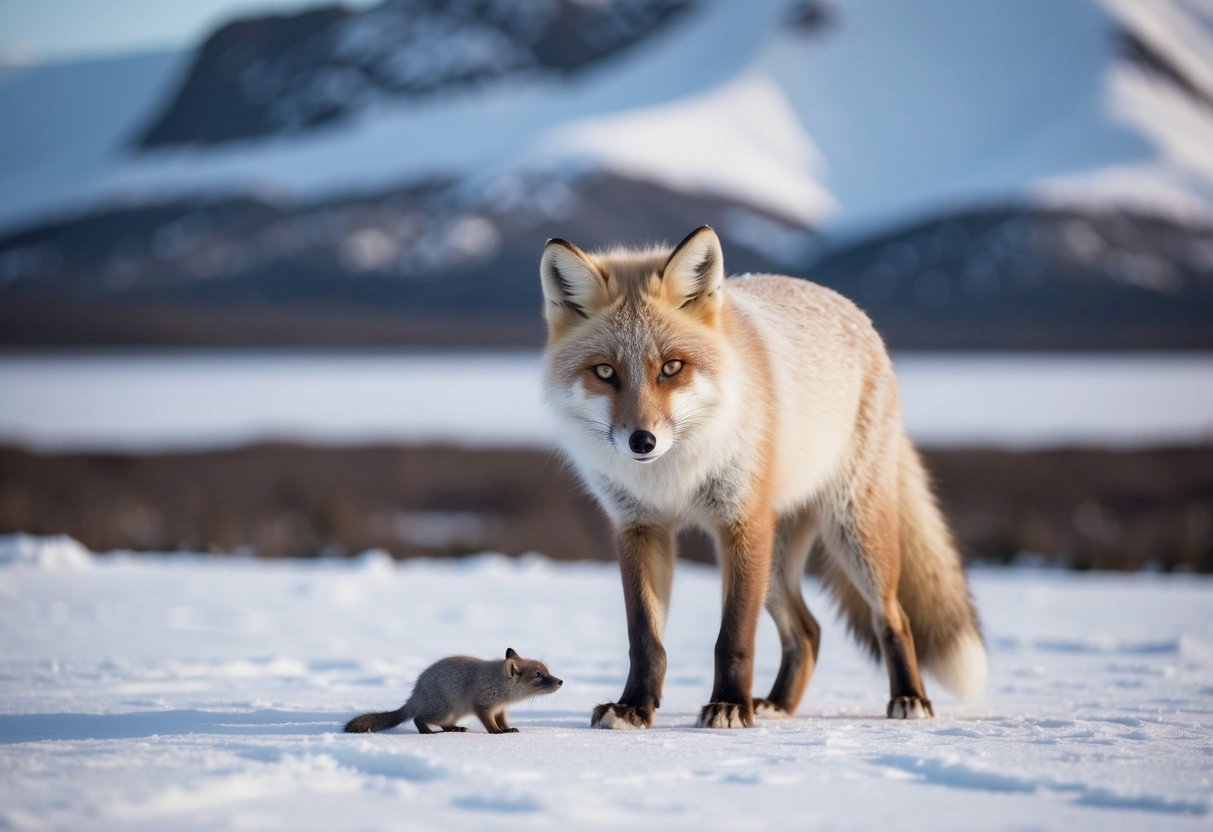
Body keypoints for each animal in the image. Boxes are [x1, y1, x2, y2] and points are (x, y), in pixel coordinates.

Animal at [344, 648, 563, 734]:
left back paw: (455, 729)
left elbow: (503, 722)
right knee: (417, 717)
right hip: (442, 710)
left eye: (547, 671)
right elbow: (490, 724)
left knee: (443, 723)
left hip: (451, 713)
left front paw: (507, 730)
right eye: (538, 675)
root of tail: (415, 694)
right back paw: (427, 732)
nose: (560, 681)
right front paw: (497, 733)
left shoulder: (501, 709)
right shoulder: (482, 705)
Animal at [539, 225, 986, 729]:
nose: (642, 442)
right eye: (604, 371)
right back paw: (777, 704)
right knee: (808, 631)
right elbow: (645, 640)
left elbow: (733, 638)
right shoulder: (640, 527)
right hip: (775, 564)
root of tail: (856, 313)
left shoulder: (741, 523)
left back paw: (909, 697)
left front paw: (730, 705)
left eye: (671, 367)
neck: (674, 476)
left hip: (851, 536)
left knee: (894, 618)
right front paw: (634, 706)